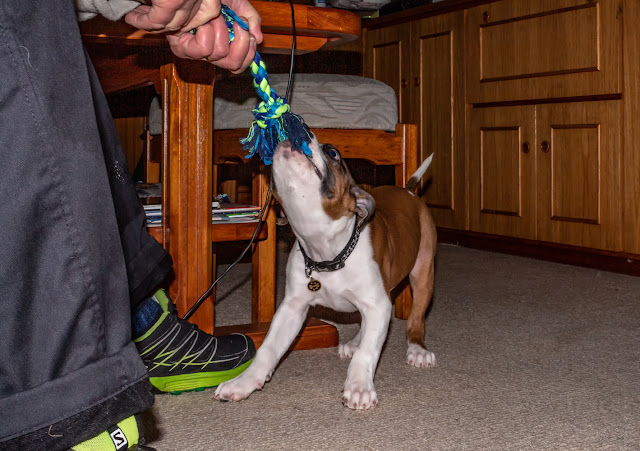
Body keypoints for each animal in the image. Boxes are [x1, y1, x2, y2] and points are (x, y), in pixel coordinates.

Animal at [212, 138, 438, 410]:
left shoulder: (378, 303)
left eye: (333, 153)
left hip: (423, 273)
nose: (297, 136)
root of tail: (408, 190)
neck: (328, 253)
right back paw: (354, 342)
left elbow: (368, 351)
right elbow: (268, 348)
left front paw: (359, 386)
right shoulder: (292, 308)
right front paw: (243, 382)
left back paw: (417, 349)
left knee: (415, 319)